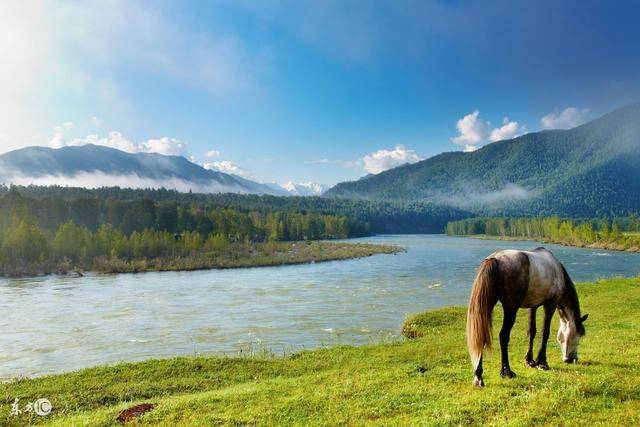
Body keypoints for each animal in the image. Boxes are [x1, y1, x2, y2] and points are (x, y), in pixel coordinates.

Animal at [468, 247, 588, 388]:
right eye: (578, 335)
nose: (573, 359)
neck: (557, 270)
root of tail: (495, 259)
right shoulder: (550, 305)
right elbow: (545, 332)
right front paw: (542, 363)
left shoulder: (533, 306)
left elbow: (532, 331)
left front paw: (530, 361)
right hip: (510, 309)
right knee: (503, 336)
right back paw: (506, 371)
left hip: (487, 305)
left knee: (482, 336)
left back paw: (478, 376)